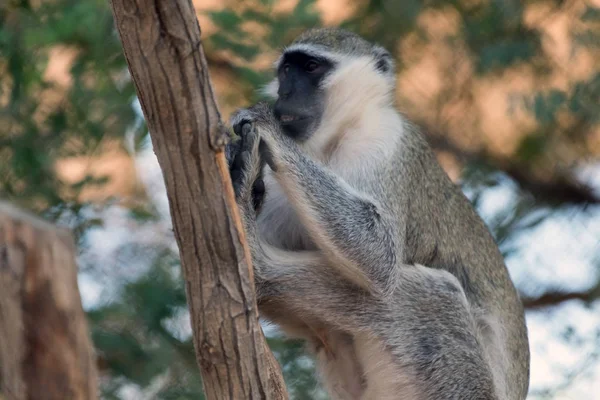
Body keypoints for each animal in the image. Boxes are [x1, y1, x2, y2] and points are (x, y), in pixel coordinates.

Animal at [225, 28, 528, 400]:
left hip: (463, 385)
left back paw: (257, 263)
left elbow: (378, 254)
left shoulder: (382, 140)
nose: (284, 94)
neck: (335, 140)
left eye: (310, 67)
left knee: (432, 294)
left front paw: (268, 127)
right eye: (285, 71)